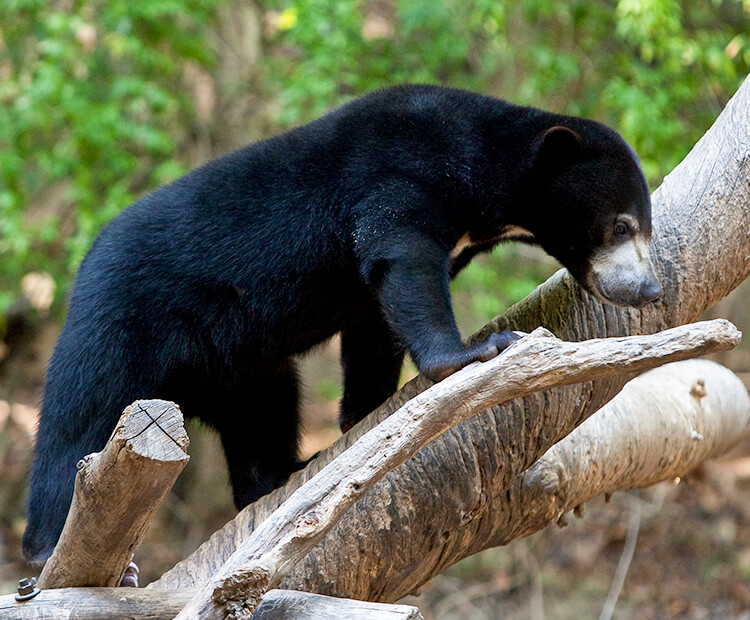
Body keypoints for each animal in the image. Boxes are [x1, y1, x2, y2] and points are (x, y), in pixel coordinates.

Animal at [20, 83, 660, 560]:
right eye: (620, 225)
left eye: (645, 227)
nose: (649, 289)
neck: (485, 176)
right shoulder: (402, 174)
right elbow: (401, 259)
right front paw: (476, 353)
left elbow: (376, 320)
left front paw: (360, 416)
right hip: (119, 321)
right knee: (79, 418)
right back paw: (51, 549)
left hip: (242, 366)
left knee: (264, 413)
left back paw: (281, 474)